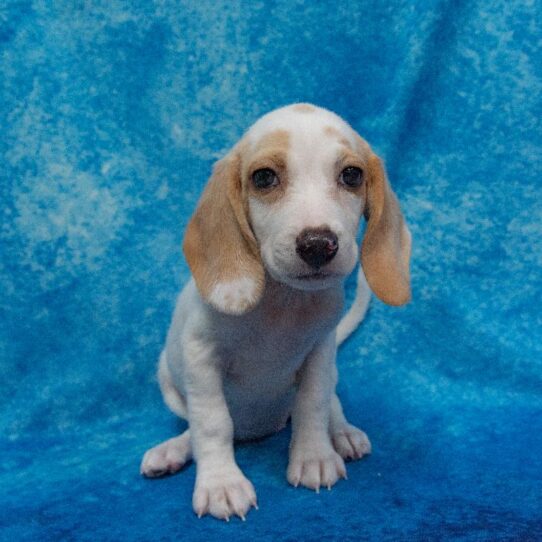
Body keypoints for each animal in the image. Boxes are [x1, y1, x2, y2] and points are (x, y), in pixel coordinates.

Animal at [140, 103, 412, 524]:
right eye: (264, 177)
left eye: (352, 175)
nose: (318, 244)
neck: (282, 302)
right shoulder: (201, 358)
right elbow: (212, 423)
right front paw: (221, 483)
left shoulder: (320, 353)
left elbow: (313, 404)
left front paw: (315, 457)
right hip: (168, 379)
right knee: (198, 429)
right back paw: (174, 449)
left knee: (331, 402)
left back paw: (343, 433)